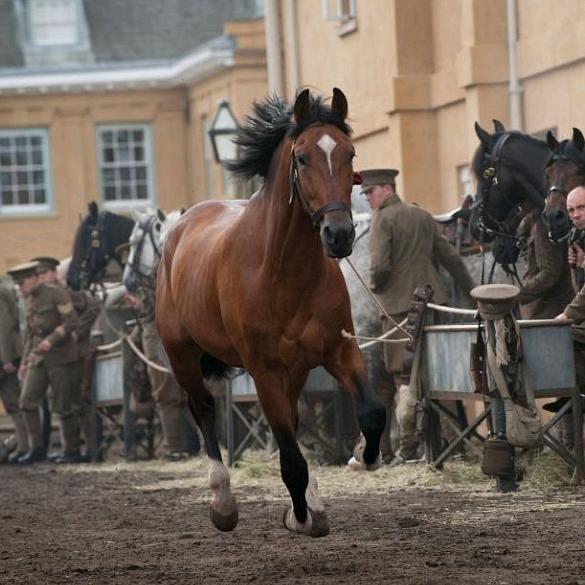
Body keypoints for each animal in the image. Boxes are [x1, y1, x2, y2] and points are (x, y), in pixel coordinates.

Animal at [156, 89, 384, 536]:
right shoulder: (263, 370)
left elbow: (371, 412)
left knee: (292, 420)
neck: (283, 272)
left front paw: (364, 455)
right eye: (303, 158)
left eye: (349, 153)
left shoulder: (339, 351)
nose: (339, 235)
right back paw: (223, 503)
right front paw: (300, 515)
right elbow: (291, 459)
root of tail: (183, 225)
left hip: (295, 370)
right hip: (182, 354)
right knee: (204, 410)